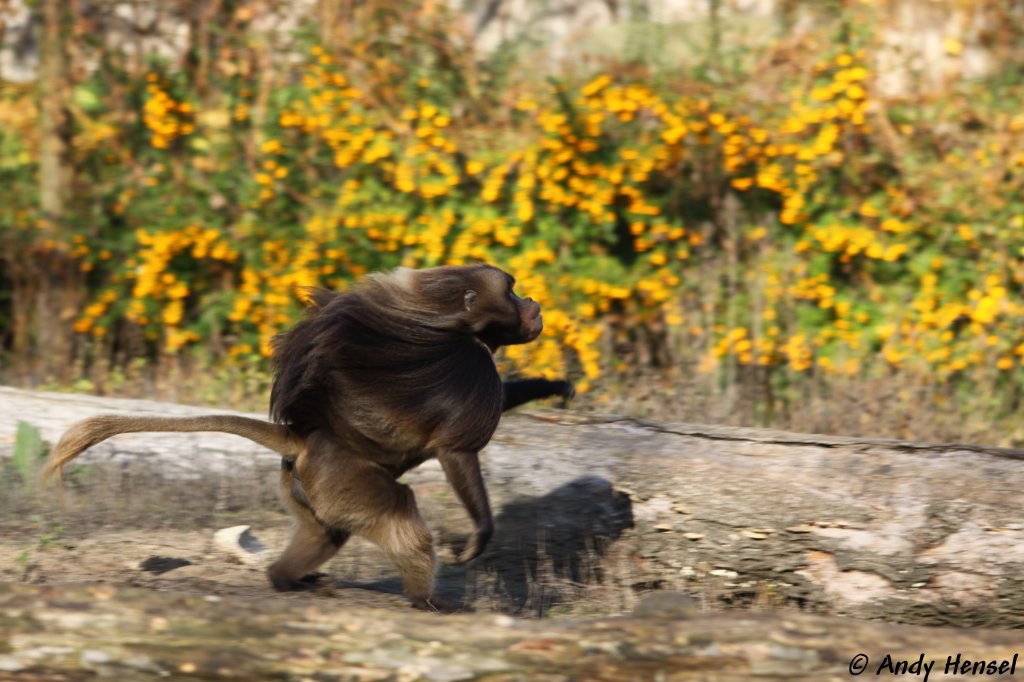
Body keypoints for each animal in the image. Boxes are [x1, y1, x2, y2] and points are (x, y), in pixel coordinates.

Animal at [44, 264, 573, 610]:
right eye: (513, 292)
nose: (535, 305)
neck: (454, 326)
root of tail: (306, 442)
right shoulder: (472, 368)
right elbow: (456, 451)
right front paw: (479, 536)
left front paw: (554, 386)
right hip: (343, 478)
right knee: (399, 511)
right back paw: (427, 602)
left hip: (311, 488)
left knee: (326, 533)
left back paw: (285, 581)